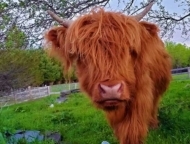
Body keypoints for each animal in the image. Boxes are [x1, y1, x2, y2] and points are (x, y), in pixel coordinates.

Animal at [45, 1, 172, 144]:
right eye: (82, 55)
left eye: (130, 50)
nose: (111, 89)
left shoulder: (141, 96)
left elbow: (133, 129)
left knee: (154, 105)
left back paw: (154, 124)